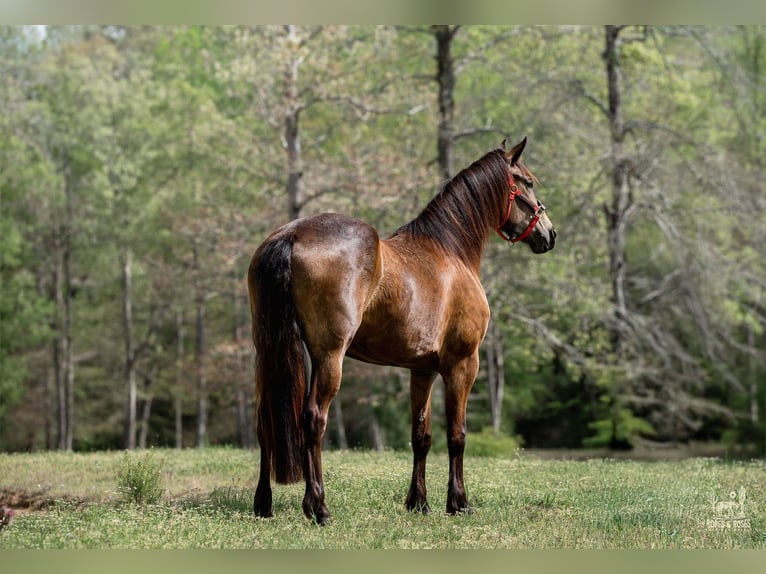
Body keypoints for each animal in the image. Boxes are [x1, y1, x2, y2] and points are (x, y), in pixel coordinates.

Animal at [247, 137, 556, 524]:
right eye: (528, 182)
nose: (549, 234)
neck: (450, 251)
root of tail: (292, 234)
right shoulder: (463, 364)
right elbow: (457, 435)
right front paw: (459, 502)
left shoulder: (421, 369)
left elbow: (420, 435)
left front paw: (418, 502)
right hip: (329, 357)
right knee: (314, 419)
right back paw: (318, 507)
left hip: (267, 352)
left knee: (265, 420)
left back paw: (263, 504)